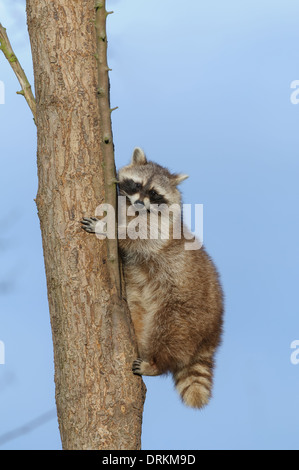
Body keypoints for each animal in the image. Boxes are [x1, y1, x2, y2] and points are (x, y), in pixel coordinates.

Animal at [81, 149, 224, 410]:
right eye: (137, 184)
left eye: (155, 193)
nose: (139, 203)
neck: (135, 211)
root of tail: (210, 339)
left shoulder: (158, 232)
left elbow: (138, 238)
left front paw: (108, 229)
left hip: (183, 312)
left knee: (167, 334)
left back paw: (156, 364)